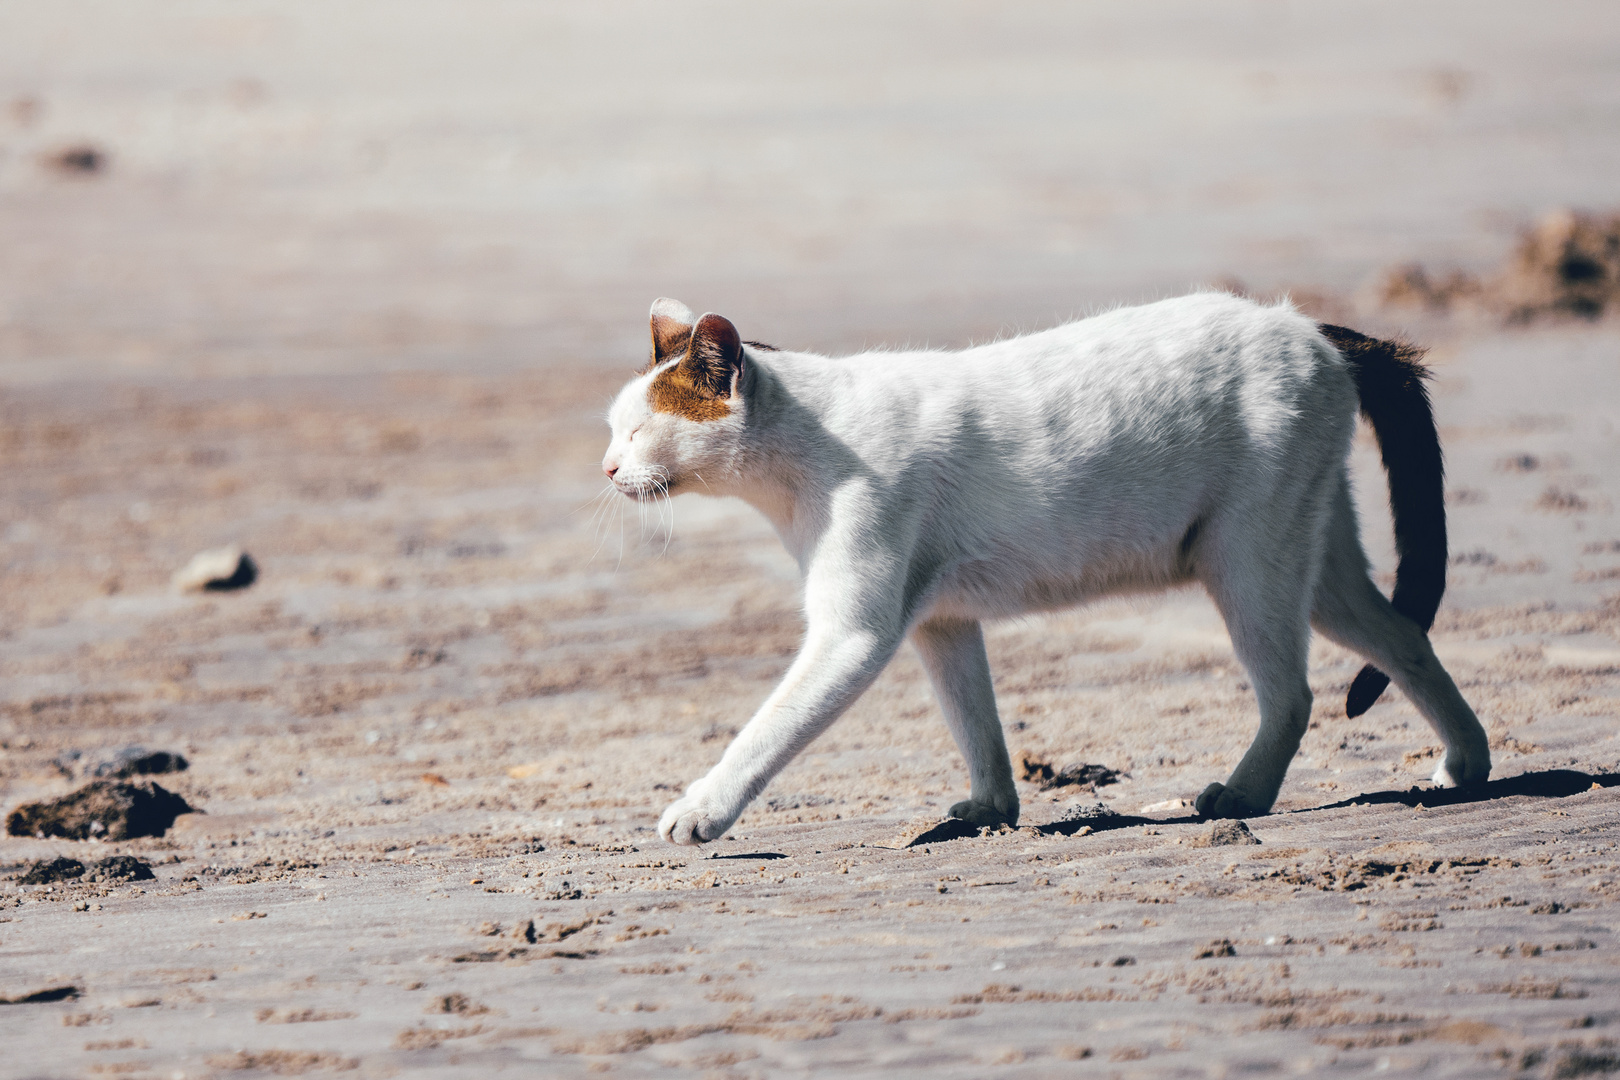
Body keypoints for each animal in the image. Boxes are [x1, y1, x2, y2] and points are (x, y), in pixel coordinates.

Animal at [605, 293, 1490, 841]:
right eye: (613, 429)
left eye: (639, 432)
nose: (608, 469)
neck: (802, 456)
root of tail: (1308, 328)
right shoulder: (941, 622)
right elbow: (977, 723)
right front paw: (990, 808)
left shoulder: (852, 634)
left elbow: (766, 731)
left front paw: (702, 810)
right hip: (1315, 562)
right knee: (1406, 639)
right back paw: (1465, 765)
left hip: (1248, 563)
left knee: (1295, 694)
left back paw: (1241, 795)